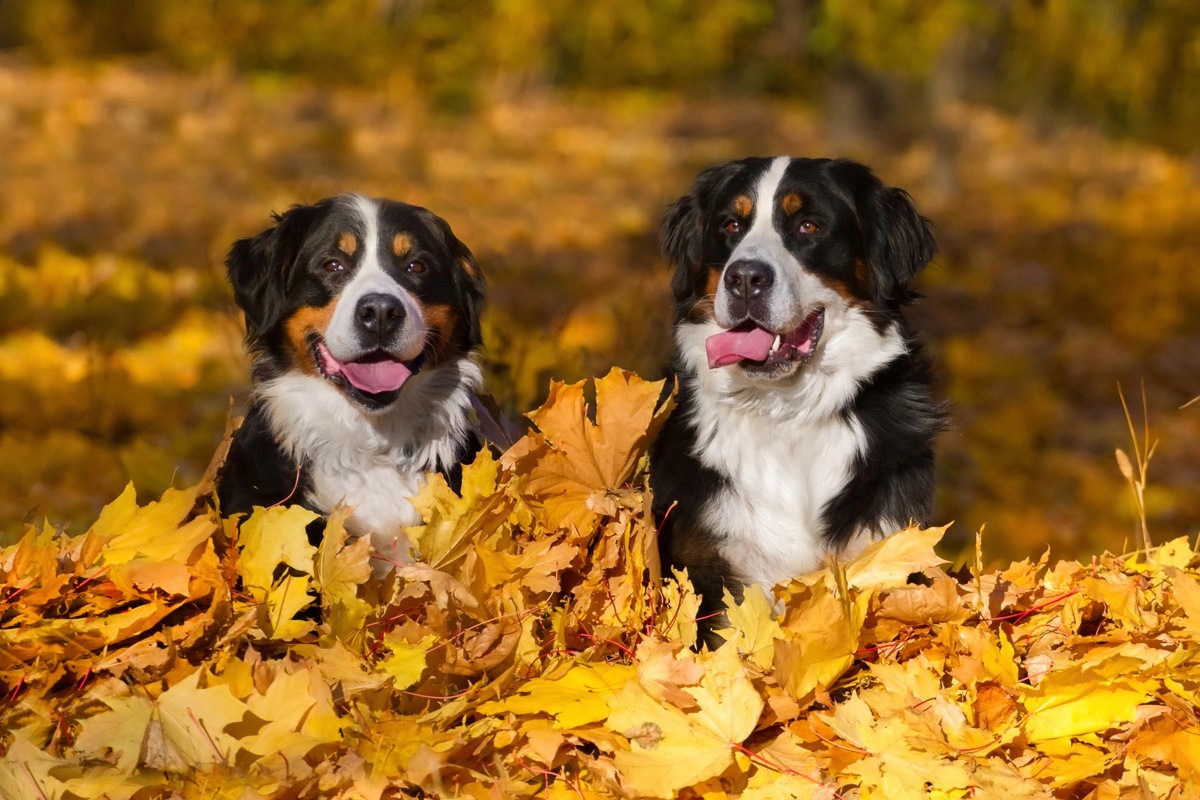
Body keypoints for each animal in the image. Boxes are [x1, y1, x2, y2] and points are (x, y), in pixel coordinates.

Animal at [648, 155, 945, 638]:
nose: (744, 277)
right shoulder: (710, 567)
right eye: (730, 224)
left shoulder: (886, 545)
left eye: (809, 226)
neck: (786, 413)